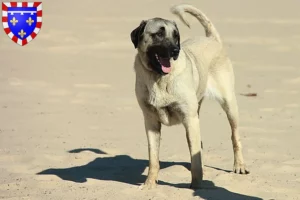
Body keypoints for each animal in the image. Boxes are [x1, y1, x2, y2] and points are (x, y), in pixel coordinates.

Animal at [130, 4, 250, 189]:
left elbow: (195, 159)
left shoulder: (189, 119)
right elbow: (153, 159)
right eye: (159, 34)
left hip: (229, 105)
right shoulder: (151, 122)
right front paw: (149, 185)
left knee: (234, 136)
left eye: (176, 36)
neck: (159, 78)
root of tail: (212, 39)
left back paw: (239, 165)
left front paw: (197, 186)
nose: (175, 50)